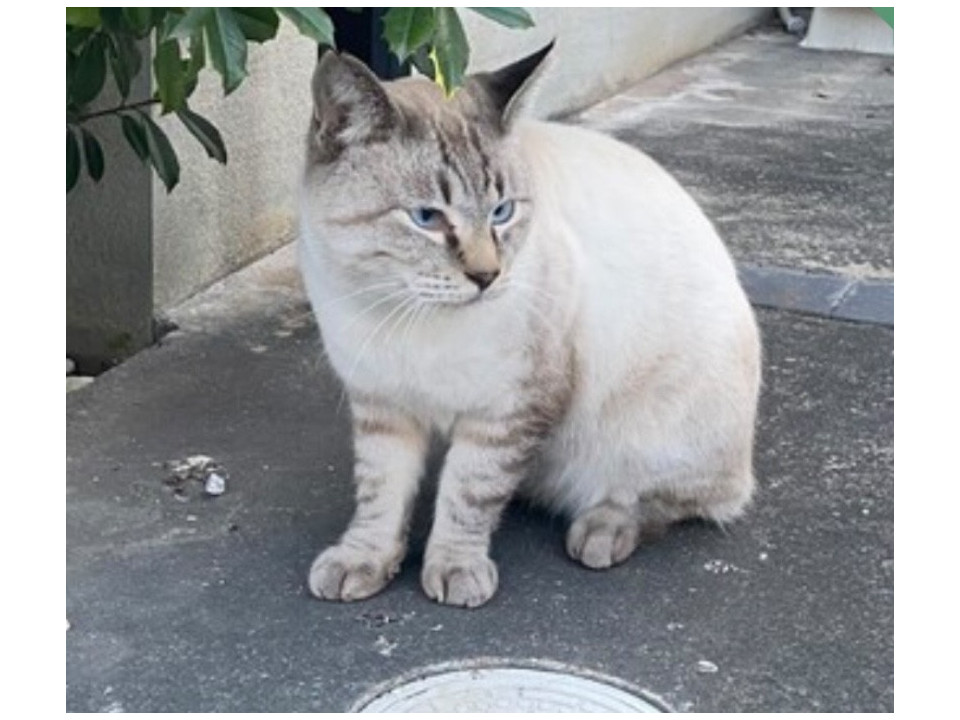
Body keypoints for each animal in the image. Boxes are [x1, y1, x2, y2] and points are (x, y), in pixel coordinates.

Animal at [298, 43, 761, 608]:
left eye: (501, 212)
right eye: (427, 218)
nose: (486, 276)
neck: (403, 315)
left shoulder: (510, 410)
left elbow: (468, 494)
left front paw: (455, 568)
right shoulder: (383, 406)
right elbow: (380, 494)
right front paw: (364, 561)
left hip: (651, 431)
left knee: (680, 499)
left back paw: (602, 530)